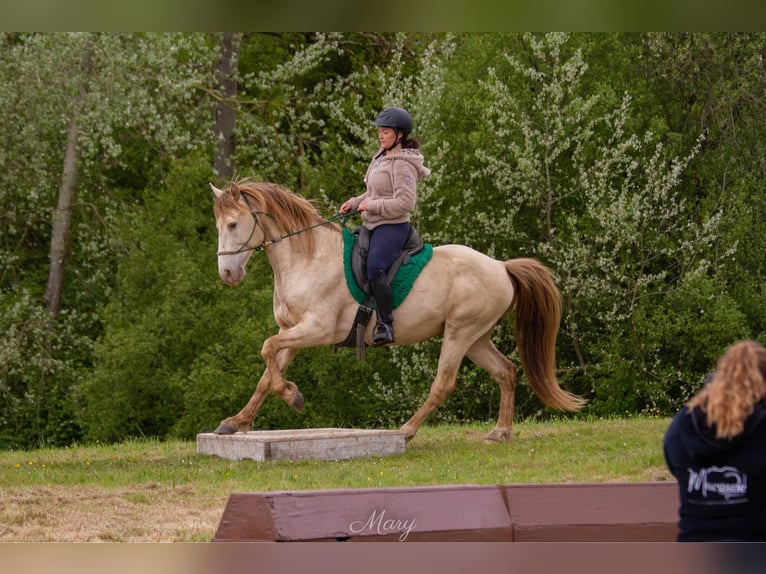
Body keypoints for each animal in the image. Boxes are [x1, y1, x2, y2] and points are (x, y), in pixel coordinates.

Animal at [212, 182, 588, 444]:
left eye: (232, 225)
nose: (228, 274)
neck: (308, 257)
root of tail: (500, 266)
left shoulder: (317, 329)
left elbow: (266, 349)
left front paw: (293, 396)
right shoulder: (291, 331)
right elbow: (266, 371)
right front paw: (236, 422)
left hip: (460, 333)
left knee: (444, 383)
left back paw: (406, 431)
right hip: (477, 337)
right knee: (506, 372)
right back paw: (501, 432)